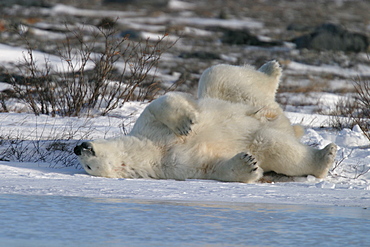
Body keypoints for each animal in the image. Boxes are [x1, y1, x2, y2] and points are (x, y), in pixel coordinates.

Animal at [73, 64, 336, 182]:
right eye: (88, 167)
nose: (78, 147)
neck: (151, 150)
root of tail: (286, 123)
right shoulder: (173, 167)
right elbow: (210, 167)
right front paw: (248, 165)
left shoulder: (146, 127)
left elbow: (159, 103)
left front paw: (185, 124)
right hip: (267, 128)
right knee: (274, 146)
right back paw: (324, 158)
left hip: (238, 99)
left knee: (218, 74)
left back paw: (271, 68)